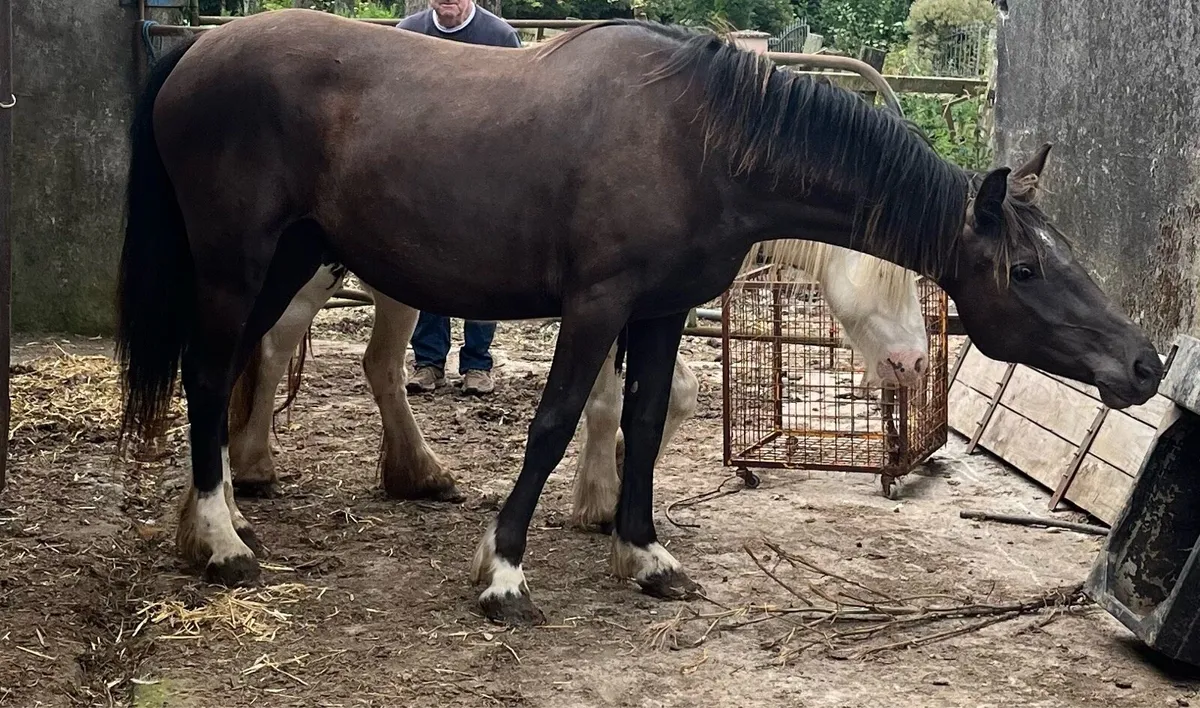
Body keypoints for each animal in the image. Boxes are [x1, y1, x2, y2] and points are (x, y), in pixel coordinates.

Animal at [224, 240, 930, 536]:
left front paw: (622, 482)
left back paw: (422, 475)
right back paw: (252, 468)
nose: (916, 364)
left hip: (396, 289)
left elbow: (674, 395)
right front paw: (597, 501)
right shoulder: (602, 309)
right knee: (274, 347)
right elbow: (605, 402)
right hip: (310, 275)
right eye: (893, 278)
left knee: (379, 367)